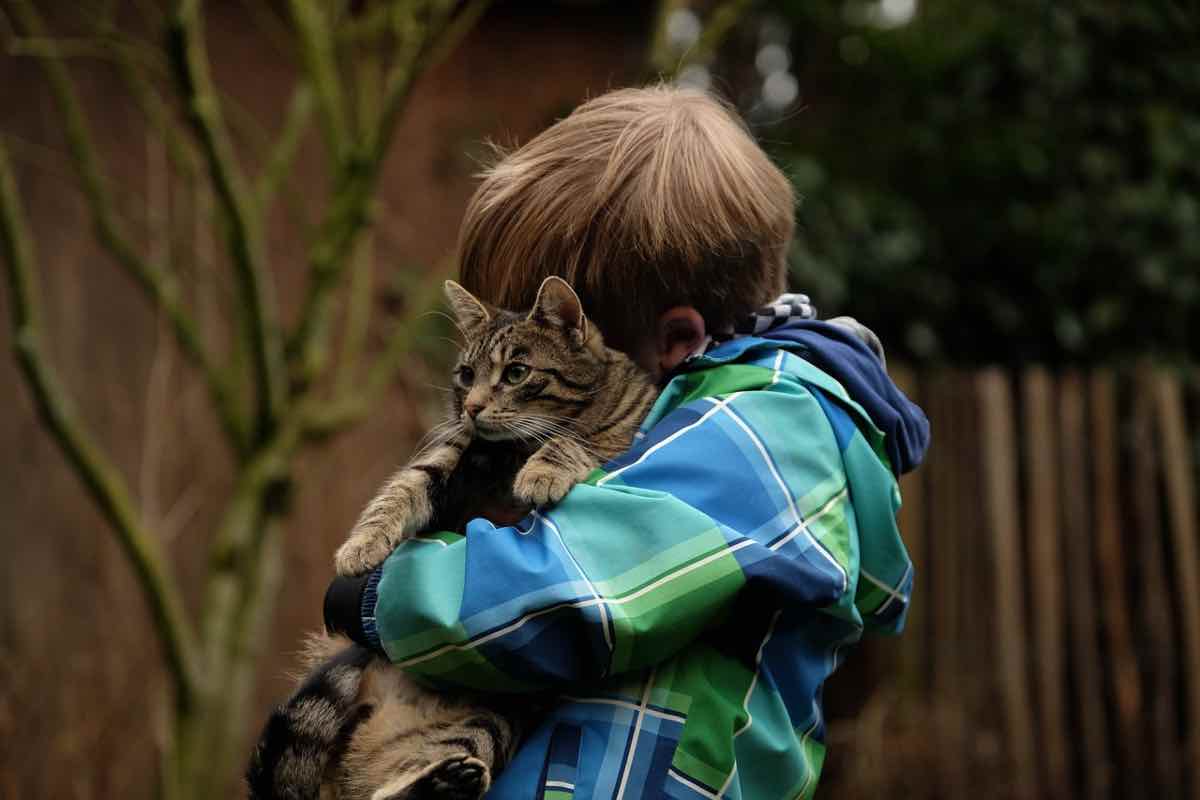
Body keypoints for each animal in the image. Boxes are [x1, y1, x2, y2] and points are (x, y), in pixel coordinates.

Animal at [246, 277, 657, 800]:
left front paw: (542, 470)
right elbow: (401, 489)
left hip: (489, 720)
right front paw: (361, 545)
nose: (472, 406)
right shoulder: (451, 451)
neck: (510, 452)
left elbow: (574, 441)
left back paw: (447, 780)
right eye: (465, 374)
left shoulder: (616, 438)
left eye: (516, 372)